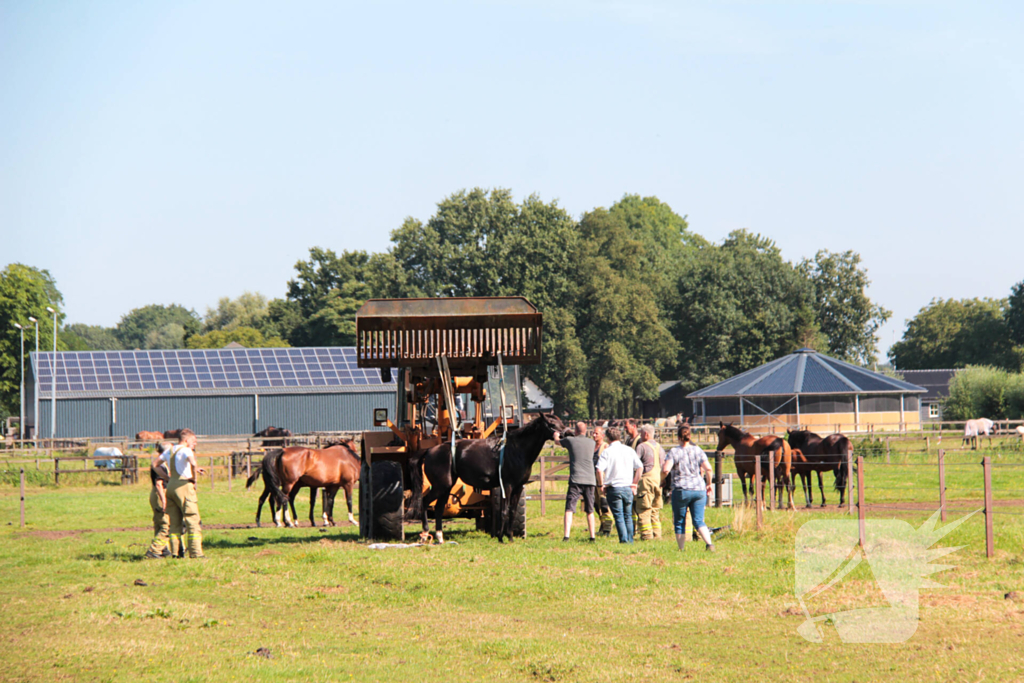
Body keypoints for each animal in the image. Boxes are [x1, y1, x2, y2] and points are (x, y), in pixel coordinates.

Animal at [409, 411, 565, 544]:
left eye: (560, 422)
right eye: (551, 424)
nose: (565, 433)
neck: (516, 449)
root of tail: (429, 450)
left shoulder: (518, 487)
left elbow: (512, 511)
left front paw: (510, 537)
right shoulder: (507, 486)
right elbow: (504, 511)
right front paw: (501, 538)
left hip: (446, 488)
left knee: (439, 508)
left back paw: (439, 537)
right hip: (440, 487)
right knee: (425, 502)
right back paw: (425, 534)